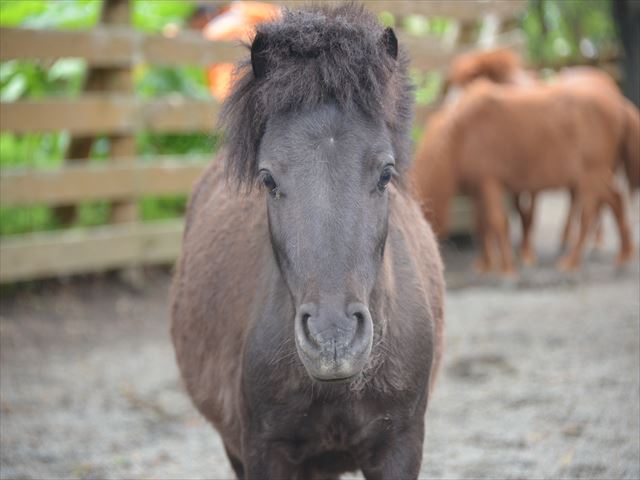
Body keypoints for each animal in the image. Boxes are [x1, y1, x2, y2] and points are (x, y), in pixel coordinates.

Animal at [410, 79, 636, 274]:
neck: (460, 134)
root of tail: (619, 103)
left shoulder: (489, 182)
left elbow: (497, 221)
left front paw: (507, 268)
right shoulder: (477, 189)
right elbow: (481, 224)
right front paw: (485, 264)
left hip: (592, 176)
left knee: (589, 215)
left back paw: (572, 261)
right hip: (598, 177)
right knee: (616, 200)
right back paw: (624, 254)